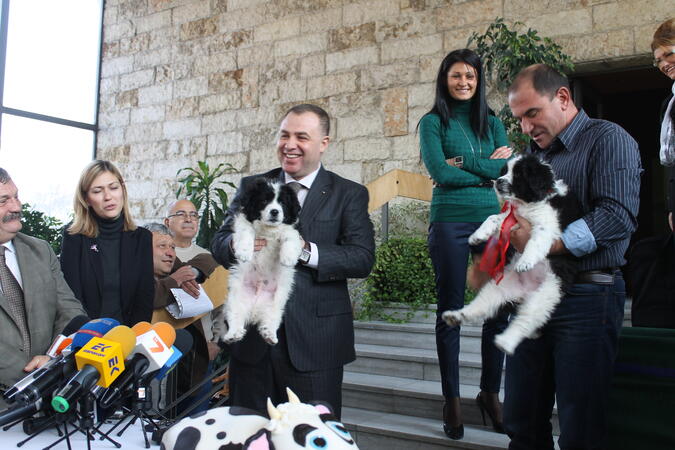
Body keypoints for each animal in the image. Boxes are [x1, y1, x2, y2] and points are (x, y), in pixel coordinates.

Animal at [222, 179, 304, 344]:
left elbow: (290, 235)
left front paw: (288, 257)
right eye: (264, 201)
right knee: (235, 317)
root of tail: (254, 308)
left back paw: (269, 335)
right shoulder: (244, 223)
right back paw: (232, 335)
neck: (268, 231)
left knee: (271, 320)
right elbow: (246, 231)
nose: (275, 212)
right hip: (235, 299)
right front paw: (244, 252)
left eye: (282, 203)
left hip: (275, 304)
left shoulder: (290, 230)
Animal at [444, 155, 580, 356]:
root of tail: (525, 293)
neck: (527, 202)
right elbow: (493, 217)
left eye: (519, 174)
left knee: (527, 319)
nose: (498, 182)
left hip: (547, 293)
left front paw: (525, 261)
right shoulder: (511, 217)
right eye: (504, 171)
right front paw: (477, 235)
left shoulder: (548, 224)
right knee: (481, 305)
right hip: (498, 288)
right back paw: (456, 315)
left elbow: (535, 240)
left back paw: (506, 342)